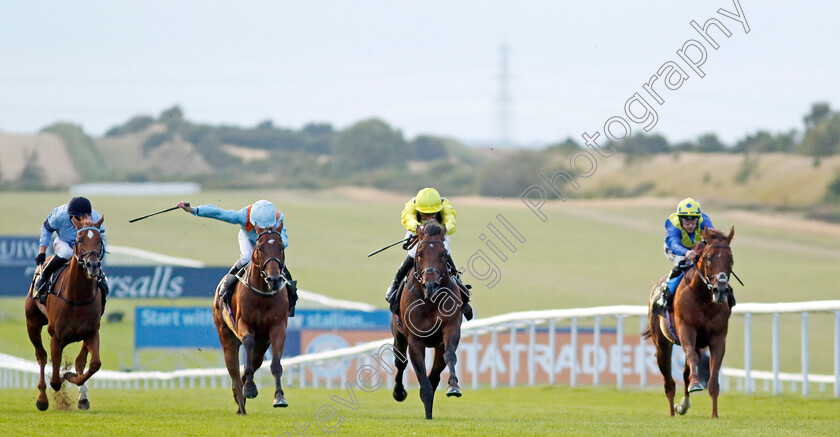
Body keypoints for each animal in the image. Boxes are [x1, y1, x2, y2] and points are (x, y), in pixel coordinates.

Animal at [24, 216, 106, 410]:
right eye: (79, 240)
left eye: (100, 240)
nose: (93, 265)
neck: (77, 296)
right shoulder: (56, 336)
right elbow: (54, 379)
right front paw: (61, 379)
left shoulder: (92, 331)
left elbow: (93, 364)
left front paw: (71, 378)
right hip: (32, 322)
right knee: (41, 356)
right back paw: (42, 399)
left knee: (80, 361)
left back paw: (81, 395)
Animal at [212, 223, 290, 414]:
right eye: (260, 248)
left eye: (281, 247)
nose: (274, 279)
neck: (263, 294)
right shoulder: (244, 324)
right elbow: (247, 342)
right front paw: (249, 389)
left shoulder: (278, 327)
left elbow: (275, 364)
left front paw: (279, 397)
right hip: (226, 338)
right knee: (234, 372)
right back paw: (241, 402)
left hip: (261, 347)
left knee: (251, 365)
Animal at [390, 220, 462, 420]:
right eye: (420, 253)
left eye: (443, 254)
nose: (430, 285)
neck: (430, 300)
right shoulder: (414, 339)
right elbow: (419, 369)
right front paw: (427, 409)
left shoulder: (451, 328)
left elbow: (450, 355)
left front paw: (453, 387)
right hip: (398, 335)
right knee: (400, 362)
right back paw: (399, 393)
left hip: (437, 344)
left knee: (436, 373)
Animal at [644, 227, 736, 418]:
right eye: (709, 257)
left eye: (730, 259)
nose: (721, 290)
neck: (703, 298)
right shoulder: (687, 329)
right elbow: (691, 359)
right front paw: (695, 384)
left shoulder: (718, 338)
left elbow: (713, 376)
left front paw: (714, 415)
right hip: (662, 343)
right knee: (668, 379)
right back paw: (672, 412)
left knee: (685, 372)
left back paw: (682, 406)